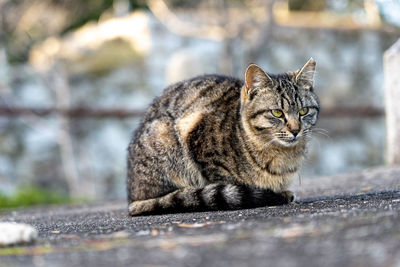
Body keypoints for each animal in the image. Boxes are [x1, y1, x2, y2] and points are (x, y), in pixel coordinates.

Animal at [126, 58, 320, 216]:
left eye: (304, 111)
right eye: (277, 113)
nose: (295, 130)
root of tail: (132, 196)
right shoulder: (199, 142)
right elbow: (225, 181)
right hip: (165, 136)